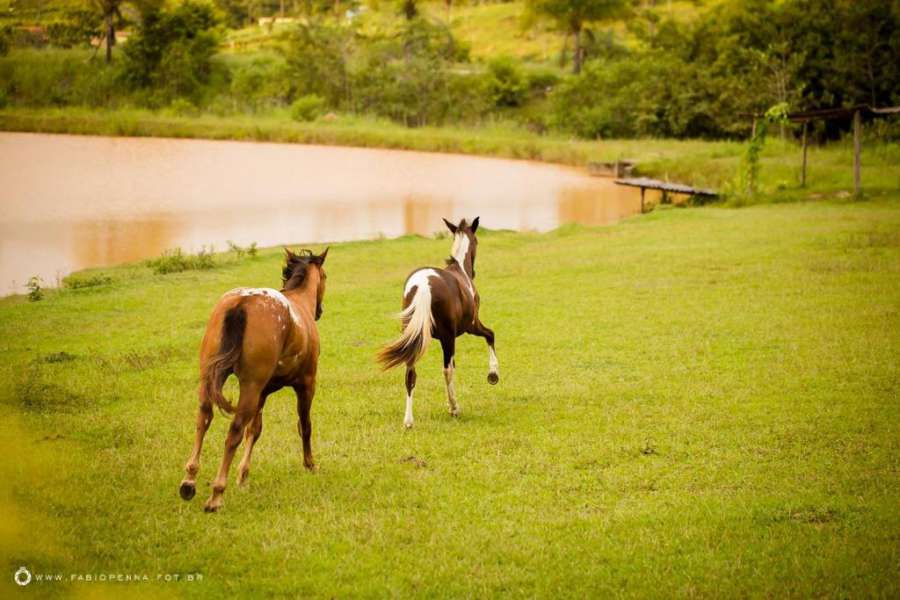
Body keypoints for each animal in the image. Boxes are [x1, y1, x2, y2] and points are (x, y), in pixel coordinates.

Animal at [178, 245, 328, 510]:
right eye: (326, 277)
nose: (320, 312)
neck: (298, 303)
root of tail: (241, 303)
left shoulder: (263, 392)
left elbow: (255, 430)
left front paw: (243, 475)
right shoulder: (306, 384)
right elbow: (305, 425)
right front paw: (310, 464)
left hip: (210, 379)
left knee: (203, 418)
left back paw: (189, 479)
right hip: (250, 386)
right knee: (234, 431)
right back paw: (217, 493)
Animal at [374, 218, 496, 428]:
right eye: (477, 241)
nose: (475, 272)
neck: (460, 270)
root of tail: (423, 285)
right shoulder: (471, 326)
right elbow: (490, 335)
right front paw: (493, 375)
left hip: (412, 336)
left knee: (410, 373)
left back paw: (408, 421)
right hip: (448, 338)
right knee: (446, 370)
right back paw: (454, 408)